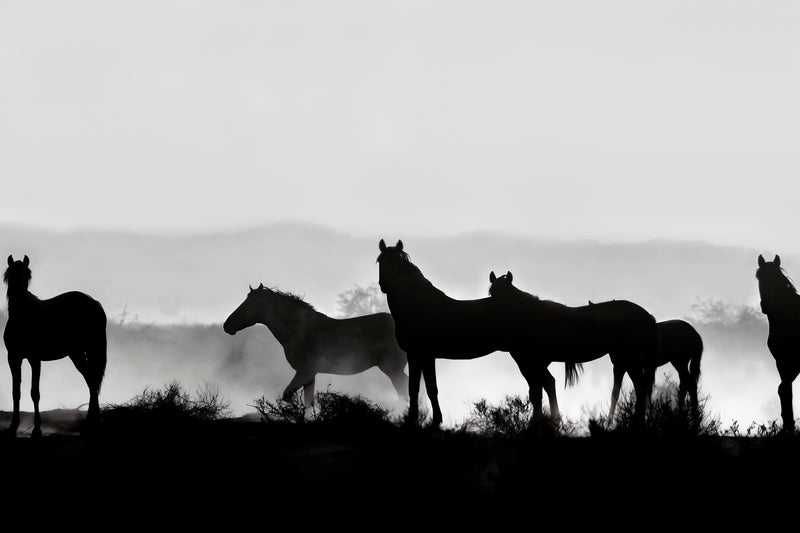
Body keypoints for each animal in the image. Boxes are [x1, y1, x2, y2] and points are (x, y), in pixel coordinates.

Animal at [2, 255, 106, 436]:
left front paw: (37, 429)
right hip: (80, 353)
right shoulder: (13, 358)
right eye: (9, 276)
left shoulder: (34, 359)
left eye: (27, 276)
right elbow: (16, 391)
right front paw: (13, 426)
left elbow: (34, 393)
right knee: (91, 380)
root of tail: (94, 303)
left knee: (92, 382)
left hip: (82, 352)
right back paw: (93, 424)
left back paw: (89, 425)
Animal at [222, 282, 410, 408]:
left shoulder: (304, 371)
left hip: (392, 369)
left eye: (248, 304)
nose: (226, 325)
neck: (299, 330)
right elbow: (308, 403)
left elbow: (289, 397)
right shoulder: (310, 375)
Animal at [484, 270, 660, 424]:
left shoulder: (532, 363)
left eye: (507, 296)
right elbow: (541, 389)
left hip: (630, 360)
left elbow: (539, 391)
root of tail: (647, 316)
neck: (530, 317)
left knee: (640, 388)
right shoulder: (533, 364)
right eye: (492, 294)